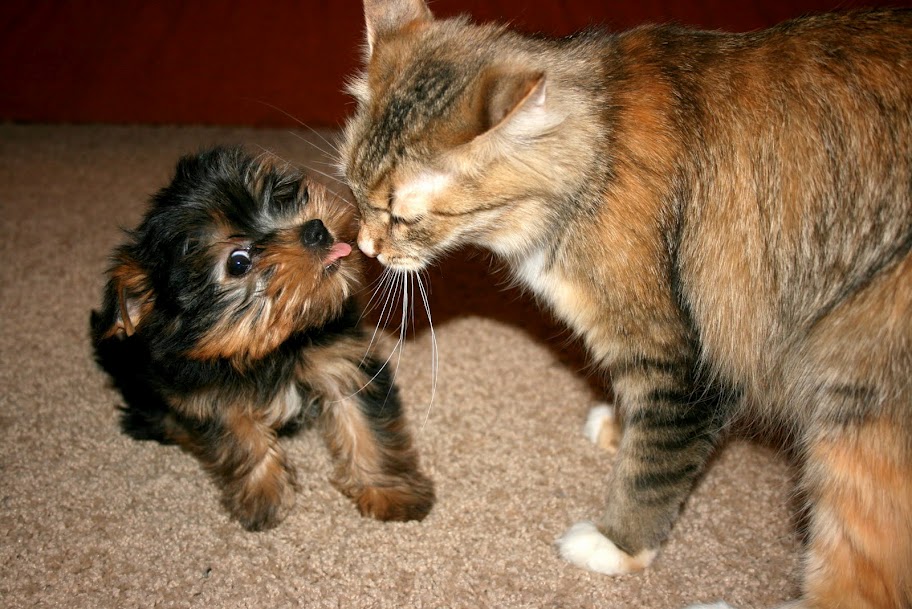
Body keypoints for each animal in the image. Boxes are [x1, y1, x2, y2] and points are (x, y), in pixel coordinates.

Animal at [91, 146, 434, 530]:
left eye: (280, 197)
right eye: (238, 262)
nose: (315, 229)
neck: (272, 347)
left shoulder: (342, 360)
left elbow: (366, 426)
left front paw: (391, 492)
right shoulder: (208, 395)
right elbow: (240, 437)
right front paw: (263, 498)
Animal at [338, 2, 912, 608]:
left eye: (401, 215)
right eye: (352, 189)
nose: (366, 248)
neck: (598, 161)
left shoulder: (684, 360)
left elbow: (652, 470)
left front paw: (617, 543)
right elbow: (642, 424)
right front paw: (617, 424)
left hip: (854, 399)